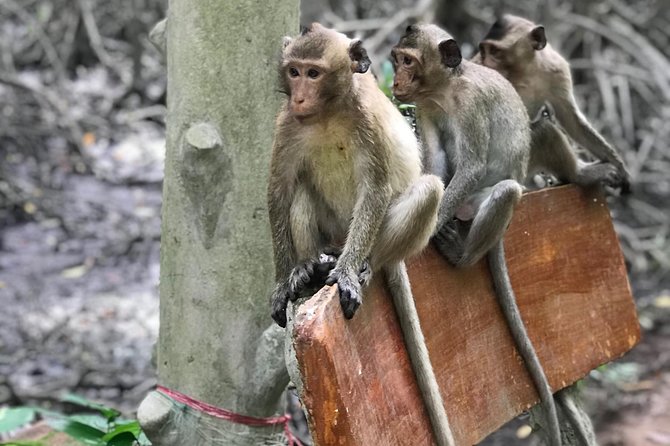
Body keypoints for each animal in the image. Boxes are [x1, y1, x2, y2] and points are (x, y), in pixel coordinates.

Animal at [270, 24, 460, 446]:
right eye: (294, 71)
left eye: (313, 73)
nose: (300, 96)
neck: (327, 112)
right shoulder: (288, 121)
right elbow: (280, 191)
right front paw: (282, 280)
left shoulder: (367, 122)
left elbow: (375, 188)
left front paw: (345, 275)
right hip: (333, 231)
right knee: (302, 189)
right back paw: (309, 266)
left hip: (374, 237)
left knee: (427, 190)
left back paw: (363, 266)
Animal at [394, 23, 560, 446]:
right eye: (397, 60)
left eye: (408, 62)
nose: (397, 81)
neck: (446, 90)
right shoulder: (427, 107)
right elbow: (437, 168)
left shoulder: (469, 107)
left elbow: (470, 168)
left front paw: (427, 231)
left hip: (486, 200)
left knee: (505, 191)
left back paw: (462, 255)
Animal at [476, 15, 632, 193]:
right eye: (483, 51)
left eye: (495, 52)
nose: (485, 63)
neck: (525, 72)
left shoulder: (556, 69)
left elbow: (571, 120)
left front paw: (619, 165)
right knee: (544, 131)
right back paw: (579, 174)